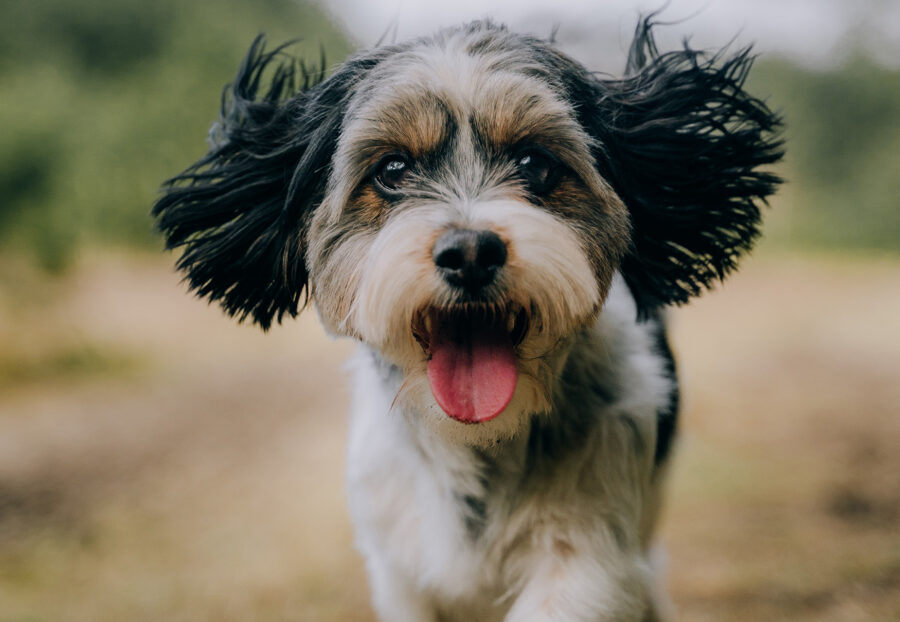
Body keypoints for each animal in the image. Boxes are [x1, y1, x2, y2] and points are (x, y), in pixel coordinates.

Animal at [153, 15, 780, 622]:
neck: (481, 442)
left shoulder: (586, 560)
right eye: (392, 169)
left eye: (535, 162)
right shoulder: (400, 568)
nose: (471, 251)